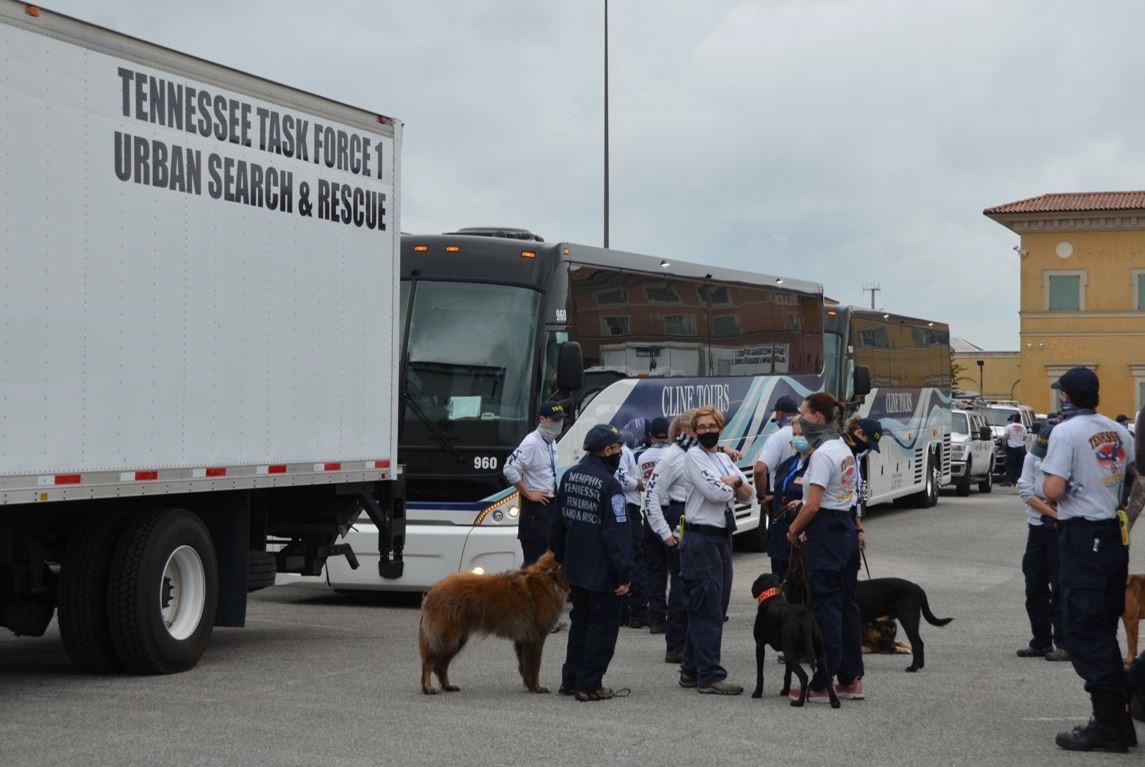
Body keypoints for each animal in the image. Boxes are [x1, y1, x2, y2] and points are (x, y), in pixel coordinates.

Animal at [419, 554, 570, 696]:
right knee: (429, 663)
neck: (550, 576)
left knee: (441, 666)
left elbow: (526, 667)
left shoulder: (523, 640)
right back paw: (428, 688)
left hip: (457, 640)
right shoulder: (536, 638)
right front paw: (538, 687)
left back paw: (447, 686)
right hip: (447, 638)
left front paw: (531, 686)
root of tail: (432, 590)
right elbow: (535, 666)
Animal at [751, 576, 842, 709]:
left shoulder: (760, 645)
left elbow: (760, 674)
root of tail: (805, 618)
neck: (771, 597)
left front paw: (757, 693)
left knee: (804, 677)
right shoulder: (790, 651)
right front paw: (785, 691)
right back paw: (834, 702)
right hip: (819, 652)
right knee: (826, 676)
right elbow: (787, 675)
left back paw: (799, 702)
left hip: (791, 654)